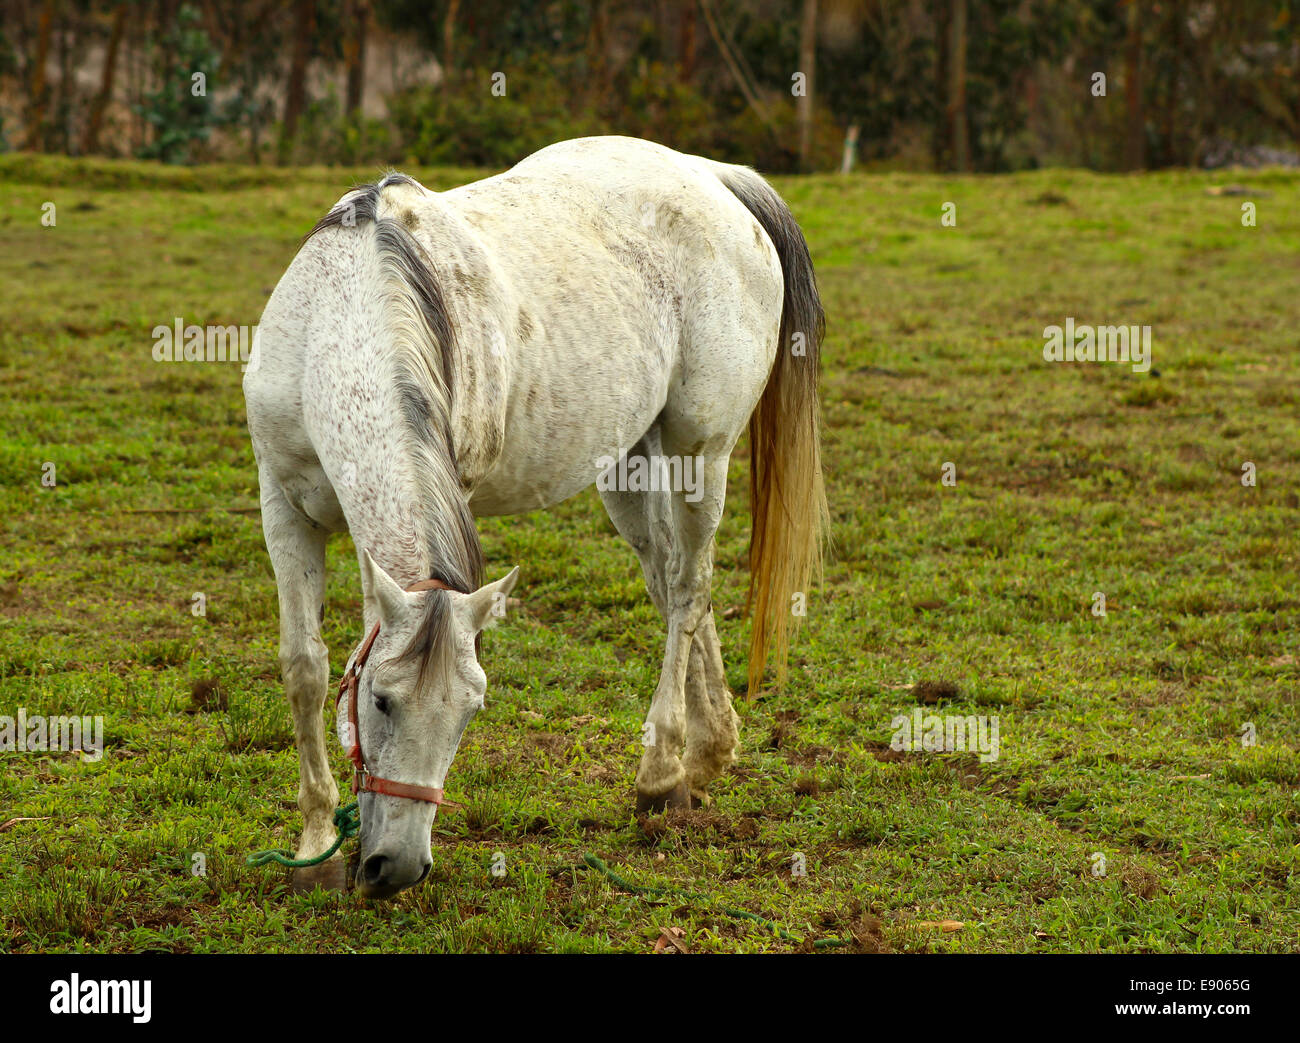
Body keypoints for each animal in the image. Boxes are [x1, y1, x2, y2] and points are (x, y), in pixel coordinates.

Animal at [244, 133, 826, 899]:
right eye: (381, 700)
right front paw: (316, 843)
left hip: (703, 453)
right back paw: (711, 751)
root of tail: (713, 176)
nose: (396, 868)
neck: (345, 312)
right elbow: (304, 666)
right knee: (673, 586)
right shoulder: (283, 508)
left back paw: (663, 771)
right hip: (630, 466)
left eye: (471, 712)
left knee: (690, 589)